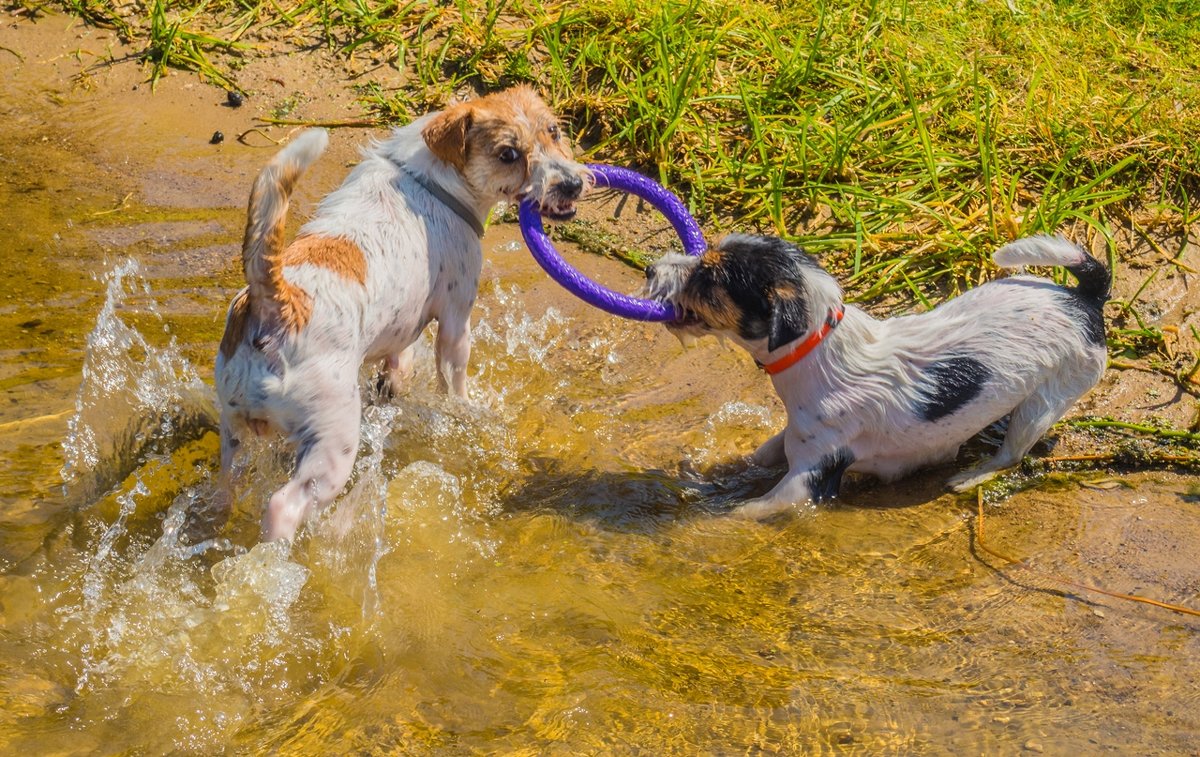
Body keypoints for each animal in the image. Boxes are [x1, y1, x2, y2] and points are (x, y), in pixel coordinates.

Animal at [218, 87, 592, 539]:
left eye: (554, 131)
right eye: (508, 154)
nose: (572, 184)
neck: (429, 180)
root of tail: (279, 303)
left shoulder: (402, 329)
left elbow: (400, 357)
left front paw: (394, 382)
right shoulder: (456, 321)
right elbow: (454, 382)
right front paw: (467, 412)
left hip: (233, 432)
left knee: (224, 483)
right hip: (333, 443)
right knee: (284, 505)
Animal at [652, 233, 1108, 518]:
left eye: (709, 278)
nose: (651, 268)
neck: (821, 348)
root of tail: (1084, 299)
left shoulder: (808, 480)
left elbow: (751, 511)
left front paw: (721, 519)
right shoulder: (797, 437)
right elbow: (763, 453)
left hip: (1043, 404)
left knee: (1012, 454)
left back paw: (971, 475)